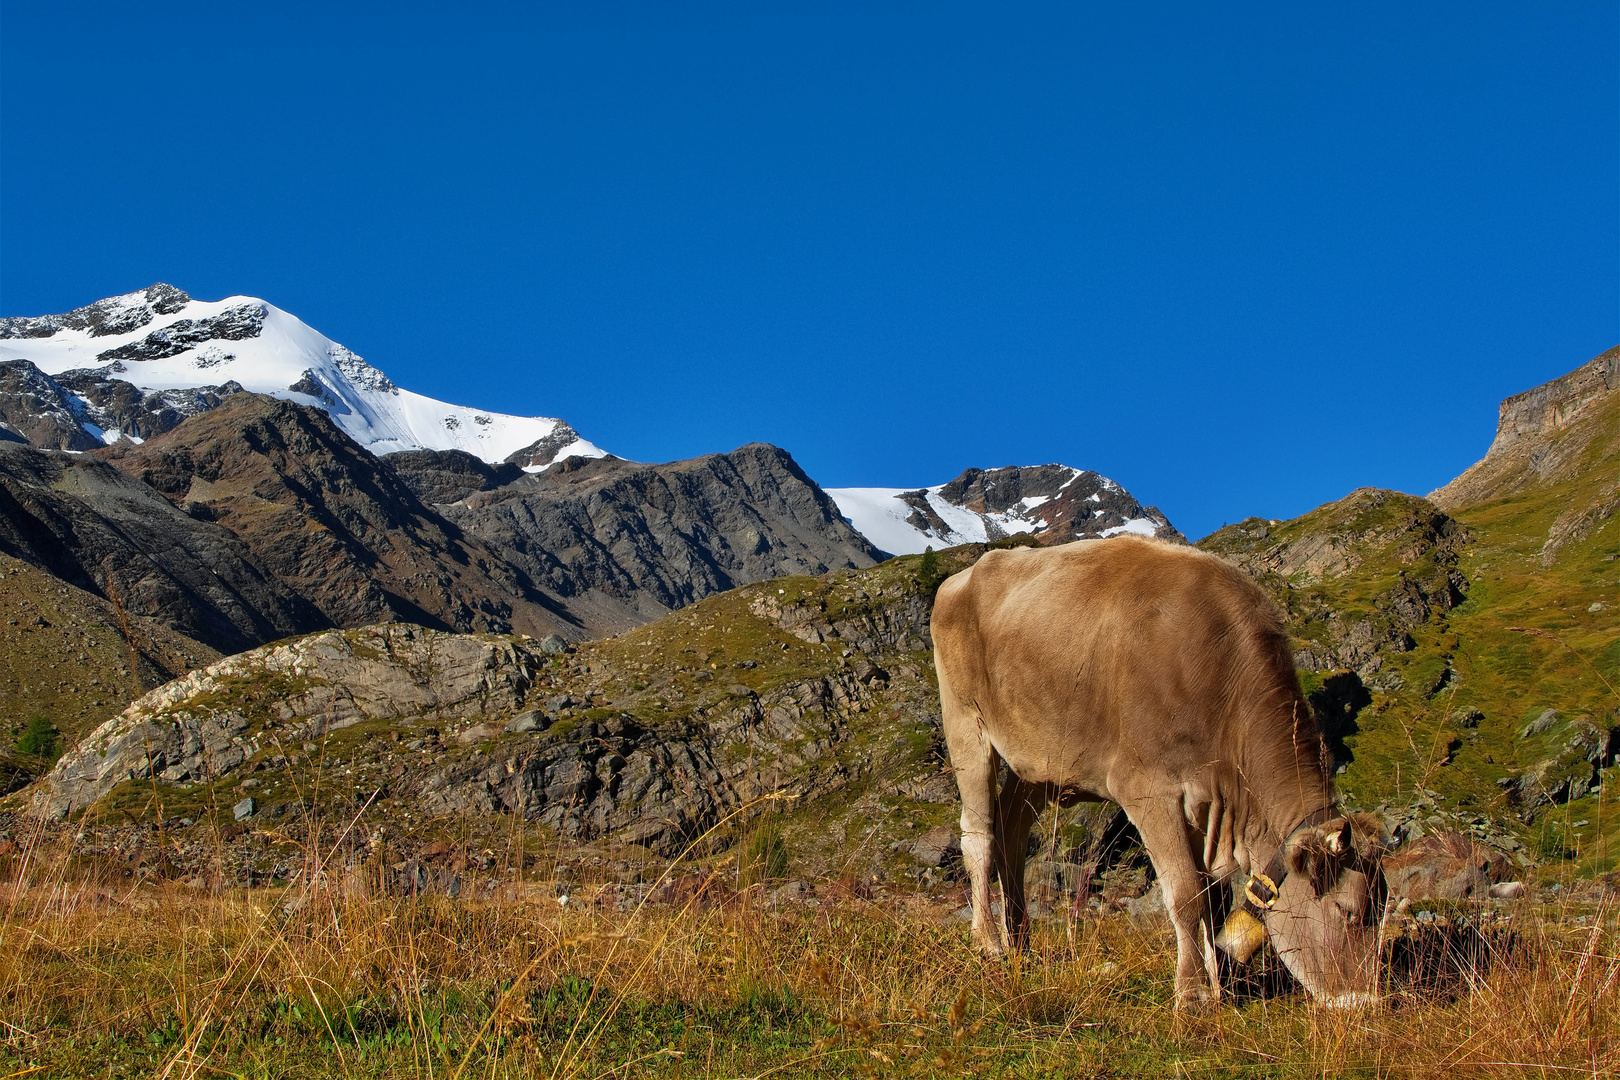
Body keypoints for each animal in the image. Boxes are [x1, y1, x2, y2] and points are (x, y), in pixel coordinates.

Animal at [939, 537, 1393, 1010]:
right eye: (1349, 911)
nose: (1367, 1001)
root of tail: (963, 576)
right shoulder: (1147, 788)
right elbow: (1187, 893)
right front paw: (1193, 993)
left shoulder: (1206, 803)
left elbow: (1213, 897)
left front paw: (1218, 987)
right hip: (966, 723)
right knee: (979, 835)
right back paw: (989, 942)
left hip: (1042, 760)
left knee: (1011, 830)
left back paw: (1021, 942)